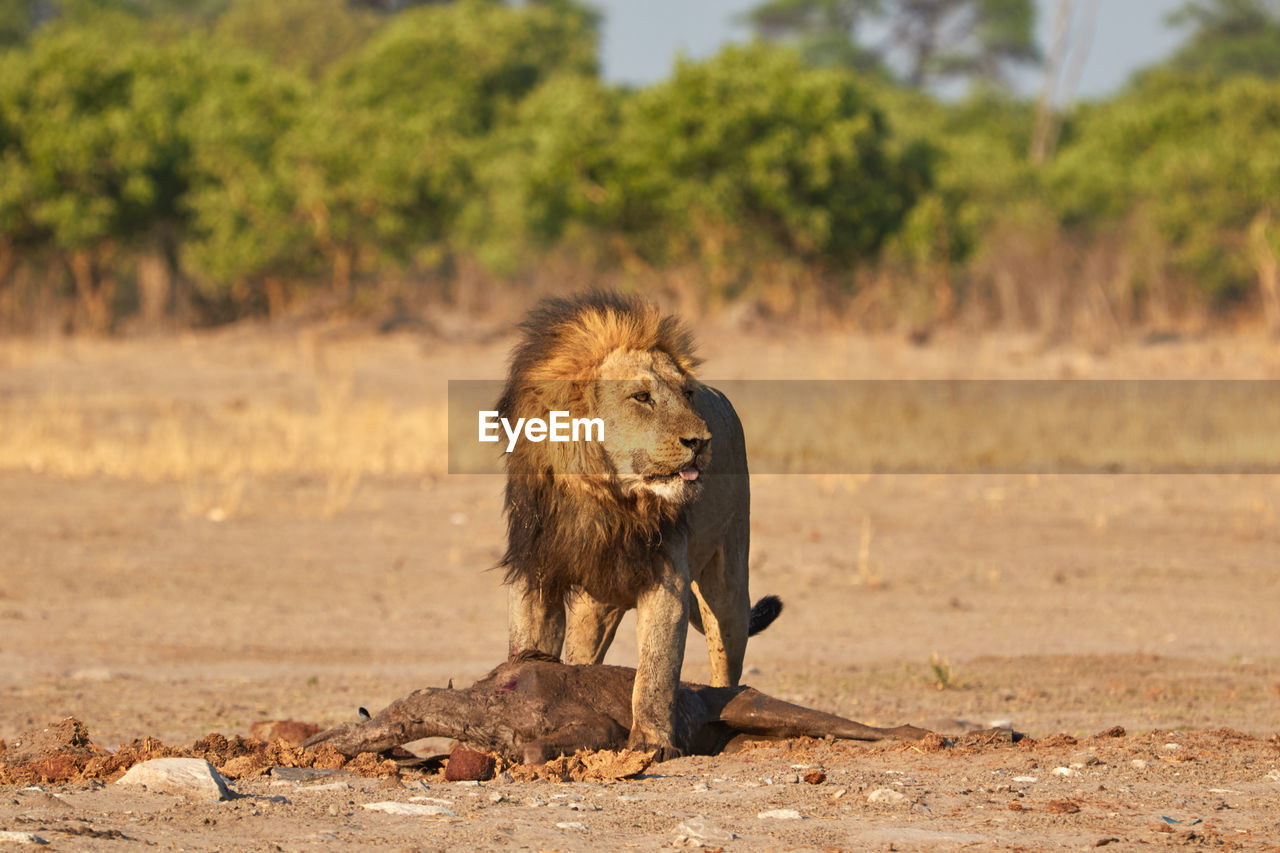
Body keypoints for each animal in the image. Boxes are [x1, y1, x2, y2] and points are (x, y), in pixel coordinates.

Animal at [494, 290, 778, 758]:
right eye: (642, 397)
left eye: (686, 393)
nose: (701, 442)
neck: (605, 498)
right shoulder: (536, 571)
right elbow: (528, 644)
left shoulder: (667, 579)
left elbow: (656, 670)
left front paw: (651, 742)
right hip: (595, 603)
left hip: (729, 585)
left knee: (726, 654)